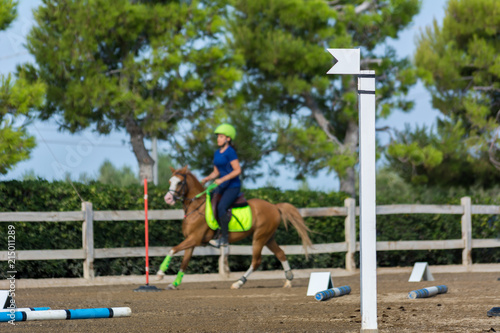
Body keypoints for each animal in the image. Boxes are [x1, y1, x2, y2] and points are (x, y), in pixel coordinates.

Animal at [157, 165, 312, 288]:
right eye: (170, 181)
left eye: (180, 182)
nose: (168, 199)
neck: (196, 207)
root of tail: (274, 206)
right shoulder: (191, 242)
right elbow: (184, 263)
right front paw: (174, 284)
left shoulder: (194, 239)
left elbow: (172, 249)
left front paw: (160, 274)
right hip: (268, 237)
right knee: (281, 254)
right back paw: (288, 280)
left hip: (259, 238)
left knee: (256, 261)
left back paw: (238, 282)